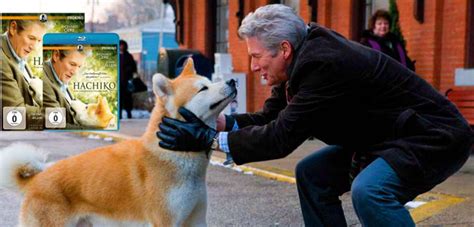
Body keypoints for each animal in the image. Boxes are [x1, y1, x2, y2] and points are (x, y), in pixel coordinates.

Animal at [0, 59, 237, 227]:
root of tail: (36, 180)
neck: (173, 152)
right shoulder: (166, 221)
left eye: (210, 82)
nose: (232, 81)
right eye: (203, 88)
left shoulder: (196, 220)